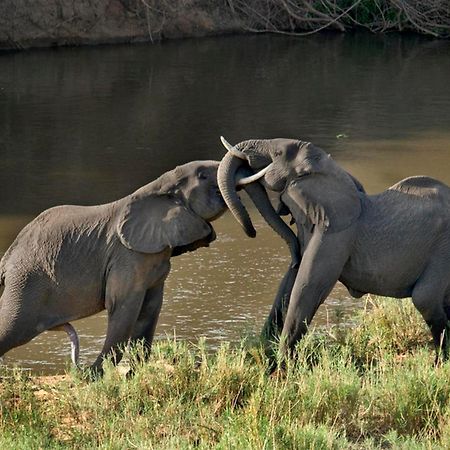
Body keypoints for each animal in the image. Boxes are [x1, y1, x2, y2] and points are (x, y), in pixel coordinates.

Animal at [0, 160, 227, 374]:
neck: (158, 186)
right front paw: (96, 375)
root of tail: (8, 255)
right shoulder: (127, 257)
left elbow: (150, 309)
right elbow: (123, 306)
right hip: (28, 282)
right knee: (13, 327)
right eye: (202, 175)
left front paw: (132, 374)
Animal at [220, 135, 450, 360]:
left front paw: (282, 365)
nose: (252, 232)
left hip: (443, 249)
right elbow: (288, 284)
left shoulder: (336, 236)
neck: (329, 170)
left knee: (425, 298)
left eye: (277, 153)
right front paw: (263, 351)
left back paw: (440, 361)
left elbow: (307, 287)